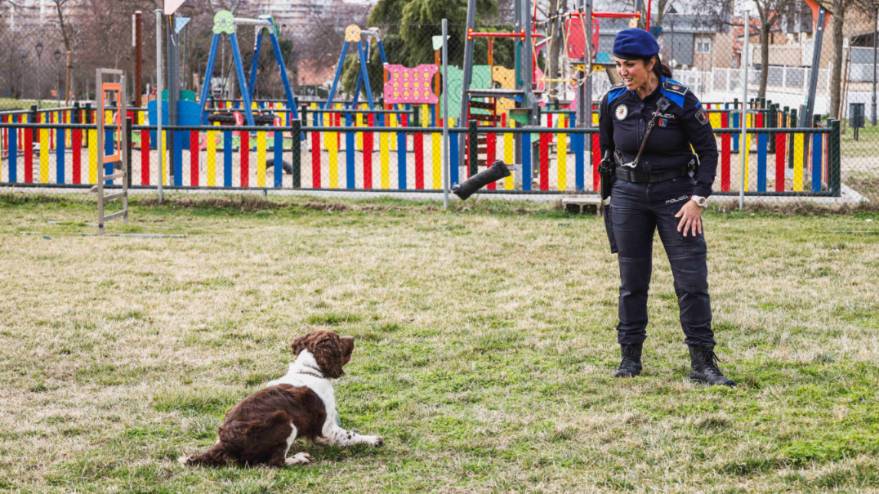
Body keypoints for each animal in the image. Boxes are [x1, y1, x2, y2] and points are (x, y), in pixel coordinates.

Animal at [179, 330, 383, 467]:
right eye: (338, 339)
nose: (353, 338)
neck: (310, 370)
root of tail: (225, 442)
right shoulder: (327, 427)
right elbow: (349, 434)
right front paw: (373, 439)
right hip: (285, 421)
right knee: (276, 462)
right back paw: (299, 458)